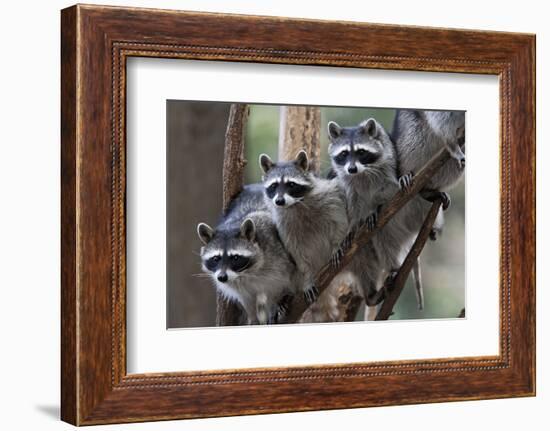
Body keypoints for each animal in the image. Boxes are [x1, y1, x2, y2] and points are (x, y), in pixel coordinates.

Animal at [198, 184, 298, 326]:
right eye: (216, 258)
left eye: (235, 258)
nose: (222, 277)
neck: (246, 273)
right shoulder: (237, 285)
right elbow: (247, 299)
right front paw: (253, 318)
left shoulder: (277, 257)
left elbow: (279, 286)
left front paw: (276, 304)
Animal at [260, 150, 350, 306]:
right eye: (273, 186)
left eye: (291, 184)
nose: (279, 201)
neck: (295, 204)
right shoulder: (284, 226)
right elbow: (297, 253)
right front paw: (307, 278)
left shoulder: (329, 196)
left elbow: (339, 220)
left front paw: (337, 244)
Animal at [328, 118, 436, 314]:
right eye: (344, 153)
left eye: (361, 152)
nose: (352, 168)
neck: (361, 172)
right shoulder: (345, 181)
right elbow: (350, 203)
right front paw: (352, 225)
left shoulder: (388, 164)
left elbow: (390, 190)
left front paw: (376, 207)